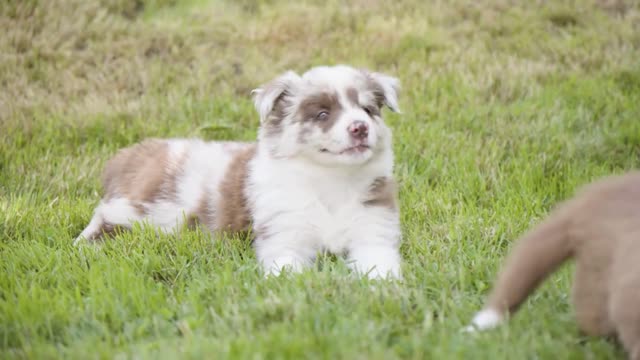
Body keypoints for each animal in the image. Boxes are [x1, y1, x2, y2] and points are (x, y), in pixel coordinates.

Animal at [76, 64, 404, 278]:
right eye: (323, 114)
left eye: (368, 110)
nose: (360, 128)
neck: (330, 181)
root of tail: (133, 153)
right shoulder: (283, 237)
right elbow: (289, 273)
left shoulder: (373, 229)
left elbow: (380, 266)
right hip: (144, 209)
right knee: (105, 216)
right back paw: (85, 243)